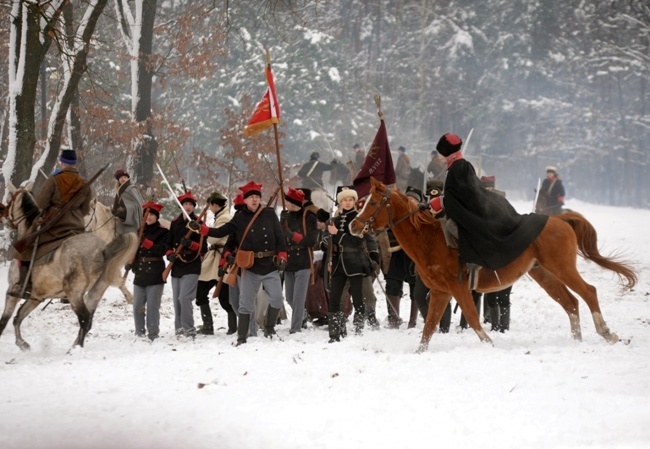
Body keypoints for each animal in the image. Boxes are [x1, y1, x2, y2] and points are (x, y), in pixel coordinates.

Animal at [346, 177, 636, 352]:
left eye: (372, 202)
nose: (353, 225)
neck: (430, 238)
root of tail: (559, 220)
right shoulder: (440, 292)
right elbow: (429, 327)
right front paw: (420, 352)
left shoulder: (458, 289)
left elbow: (473, 319)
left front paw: (490, 345)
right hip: (544, 274)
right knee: (571, 302)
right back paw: (577, 340)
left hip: (562, 268)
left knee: (588, 292)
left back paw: (605, 332)